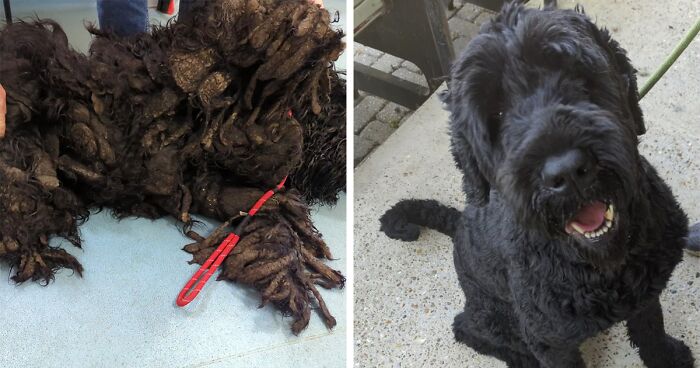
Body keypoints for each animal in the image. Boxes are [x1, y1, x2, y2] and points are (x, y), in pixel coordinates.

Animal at [380, 2, 696, 368]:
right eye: (496, 113)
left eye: (577, 74)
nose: (567, 171)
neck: (601, 267)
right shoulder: (548, 341)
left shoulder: (645, 292)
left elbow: (650, 327)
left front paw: (665, 356)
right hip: (497, 318)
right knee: (468, 329)